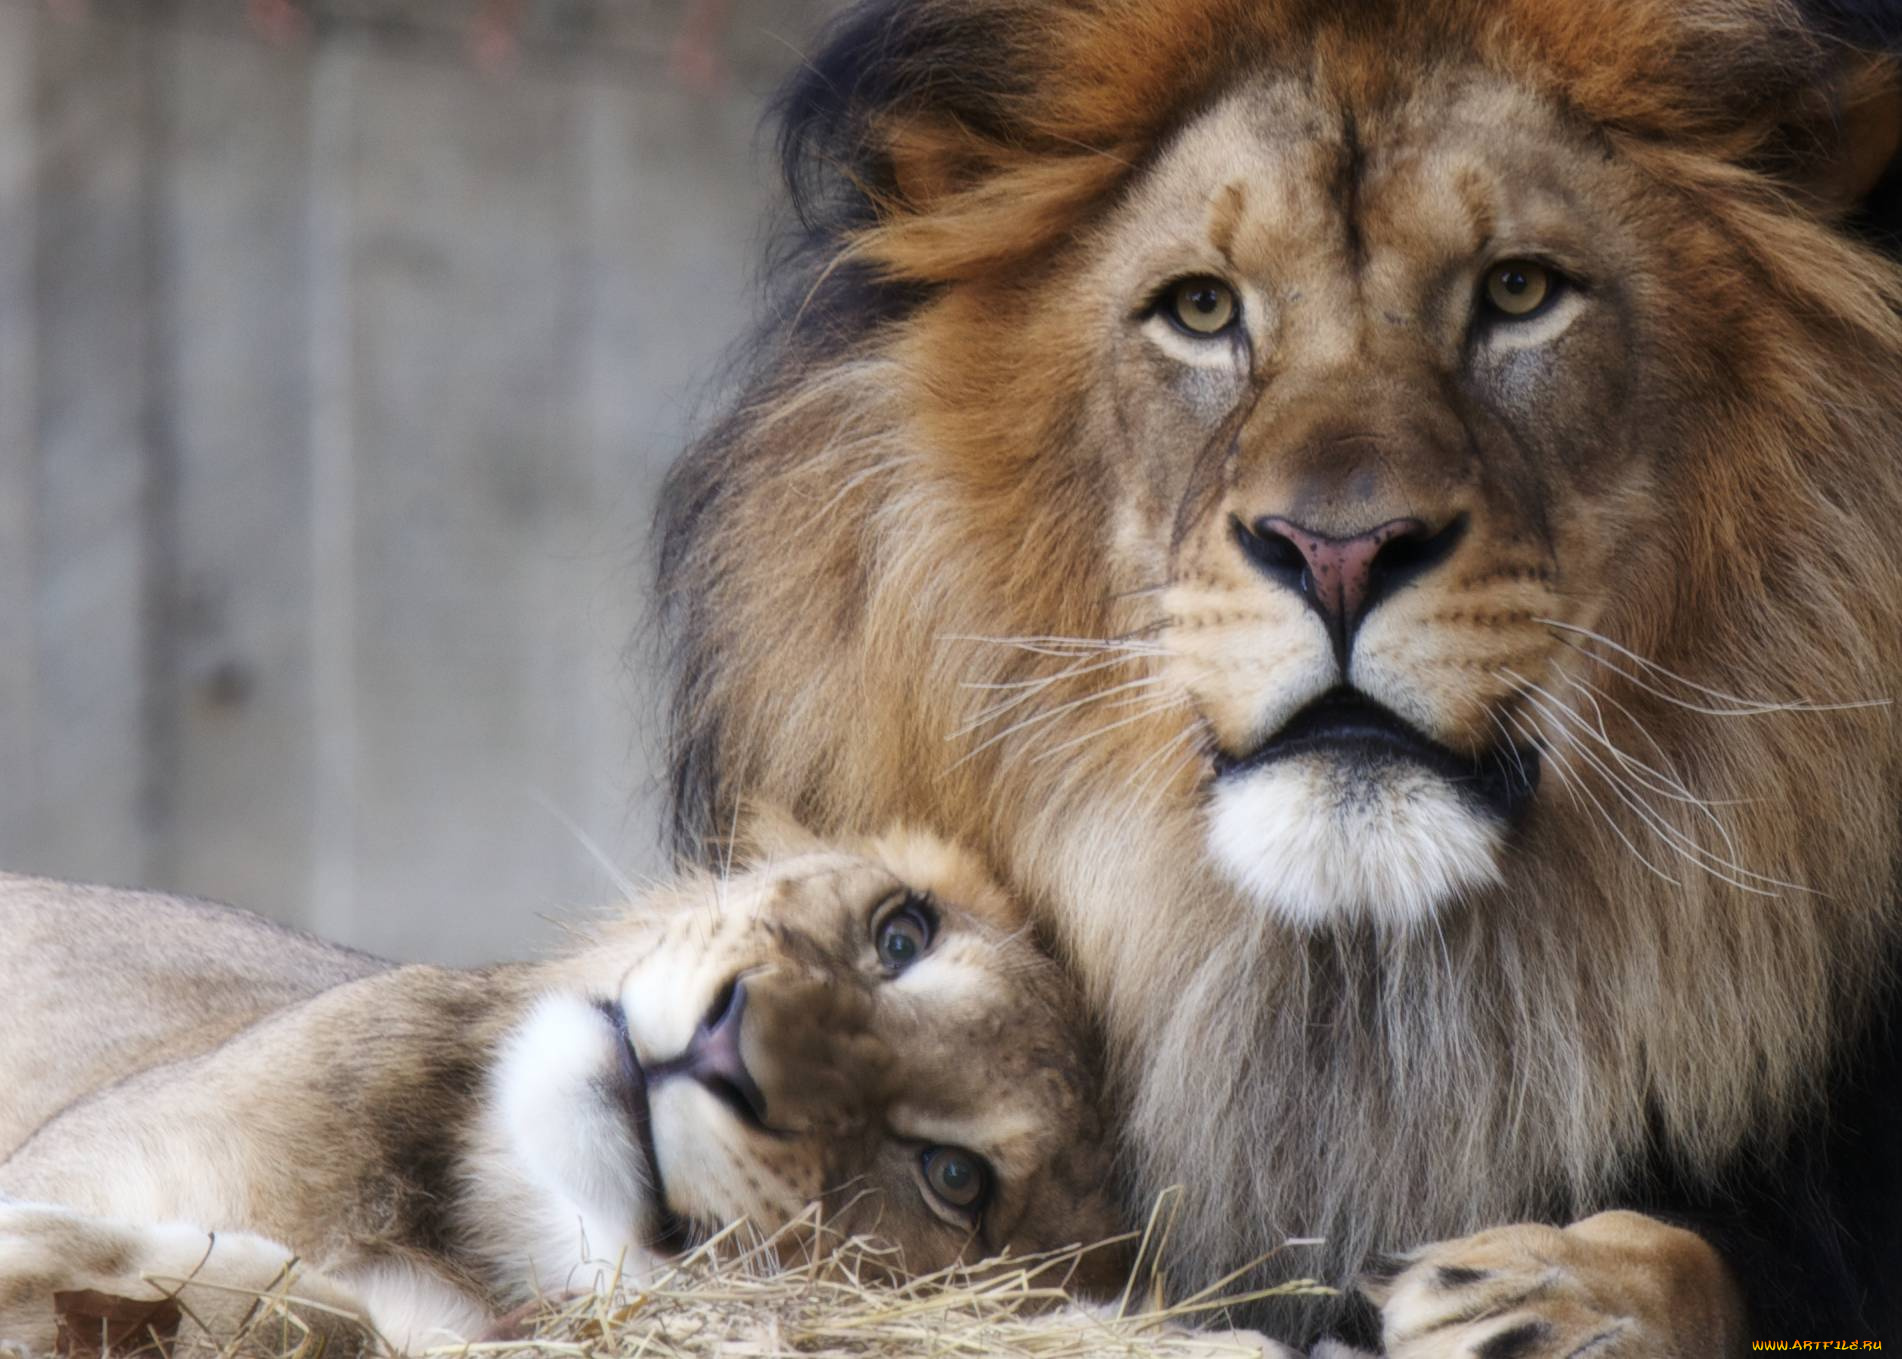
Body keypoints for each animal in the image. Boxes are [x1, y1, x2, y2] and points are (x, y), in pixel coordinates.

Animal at [0, 824, 1125, 1353]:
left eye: (954, 1179)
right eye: (902, 936)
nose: (725, 1047)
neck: (477, 1225)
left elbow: (325, 1318)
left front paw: (42, 1254)